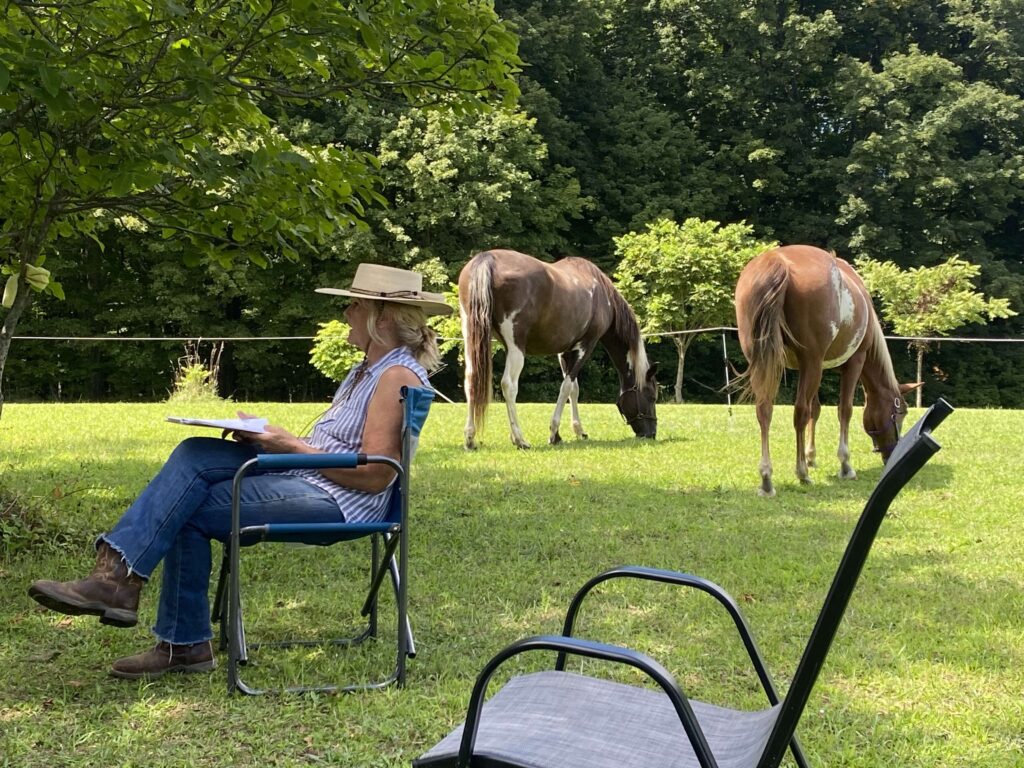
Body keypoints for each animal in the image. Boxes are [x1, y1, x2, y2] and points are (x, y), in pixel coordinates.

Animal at [458, 249, 655, 450]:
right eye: (651, 396)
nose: (651, 434)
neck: (601, 292)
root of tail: (487, 259)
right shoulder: (586, 346)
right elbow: (566, 387)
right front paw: (553, 434)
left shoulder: (564, 351)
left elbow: (574, 388)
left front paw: (576, 431)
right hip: (515, 348)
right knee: (509, 385)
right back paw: (520, 439)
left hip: (471, 338)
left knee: (471, 380)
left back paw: (470, 438)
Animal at [737, 246, 921, 499]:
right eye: (900, 413)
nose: (891, 453)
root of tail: (776, 262)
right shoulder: (853, 362)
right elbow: (844, 410)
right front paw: (845, 465)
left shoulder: (812, 367)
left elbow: (815, 410)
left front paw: (810, 456)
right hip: (810, 362)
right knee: (799, 412)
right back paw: (801, 473)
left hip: (768, 361)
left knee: (765, 410)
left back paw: (767, 479)